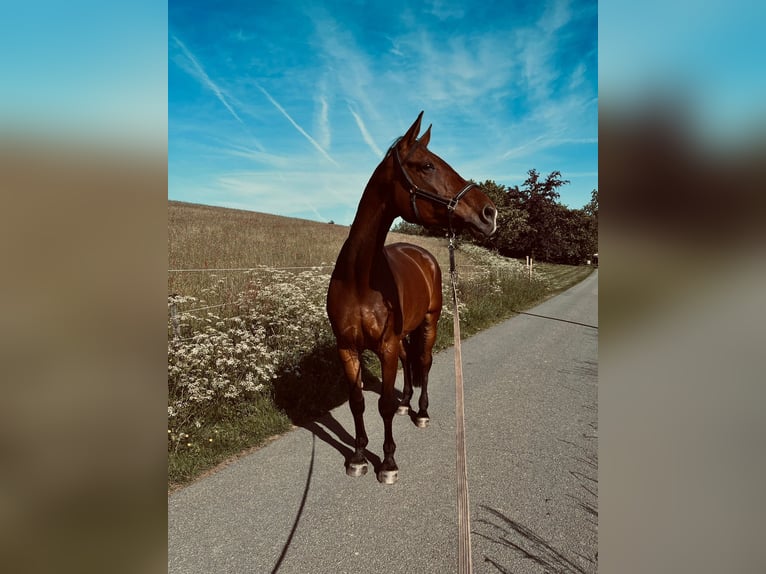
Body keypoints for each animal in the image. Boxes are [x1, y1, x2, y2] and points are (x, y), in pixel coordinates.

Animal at [326, 112, 498, 486]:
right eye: (427, 165)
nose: (490, 213)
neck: (359, 280)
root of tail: (422, 253)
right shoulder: (347, 348)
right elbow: (358, 402)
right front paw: (358, 456)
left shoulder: (386, 345)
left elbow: (384, 406)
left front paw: (388, 462)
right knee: (409, 361)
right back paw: (407, 400)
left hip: (430, 322)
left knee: (424, 361)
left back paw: (420, 411)